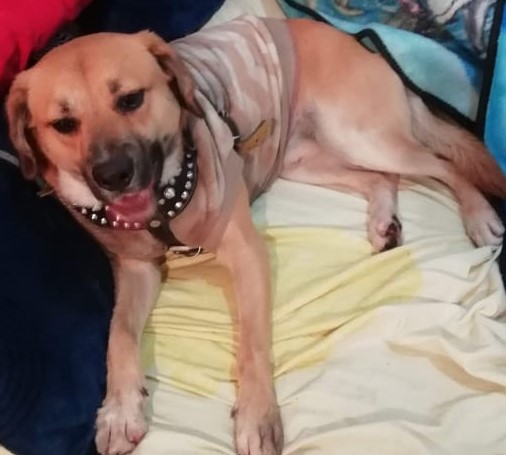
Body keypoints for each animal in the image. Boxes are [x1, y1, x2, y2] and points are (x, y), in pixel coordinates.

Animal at [6, 15, 506, 455]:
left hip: (361, 135)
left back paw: (479, 215)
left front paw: (257, 416)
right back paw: (384, 220)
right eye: (63, 125)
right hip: (305, 158)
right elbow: (119, 335)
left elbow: (252, 341)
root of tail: (357, 46)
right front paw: (120, 409)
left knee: (443, 167)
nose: (113, 176)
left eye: (130, 100)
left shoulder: (246, 253)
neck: (166, 201)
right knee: (382, 179)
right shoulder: (137, 270)